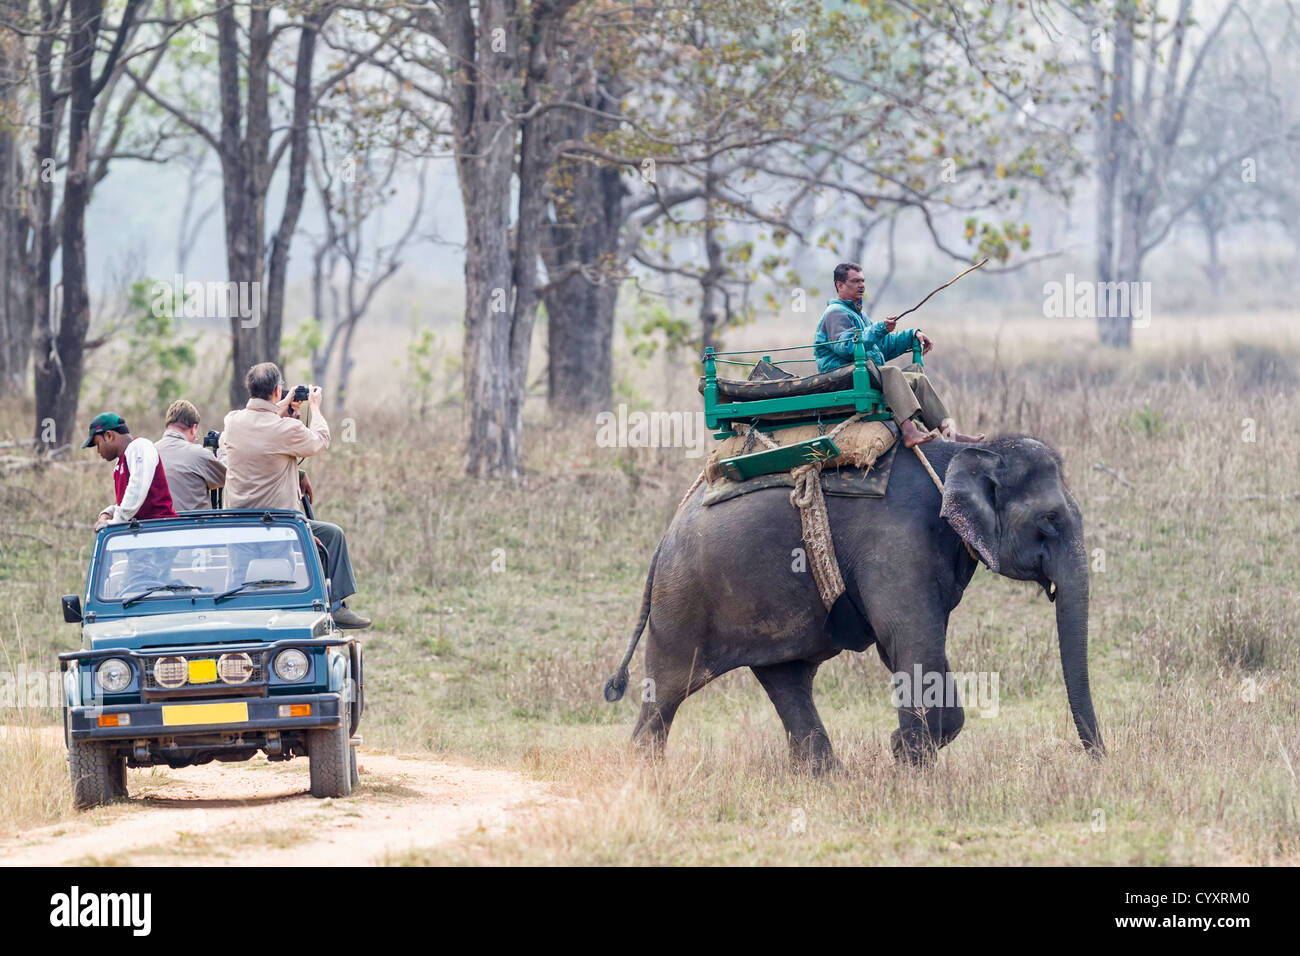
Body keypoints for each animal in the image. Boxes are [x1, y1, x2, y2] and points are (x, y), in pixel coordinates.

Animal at [603, 434, 1104, 768]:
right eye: (1049, 520)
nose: (1097, 762)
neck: (967, 449)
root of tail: (665, 536)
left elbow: (910, 645)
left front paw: (903, 751)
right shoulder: (898, 541)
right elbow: (910, 639)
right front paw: (906, 760)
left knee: (787, 678)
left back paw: (825, 778)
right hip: (682, 599)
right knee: (667, 691)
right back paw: (645, 775)